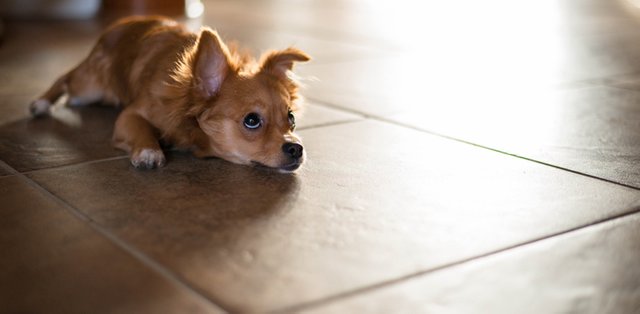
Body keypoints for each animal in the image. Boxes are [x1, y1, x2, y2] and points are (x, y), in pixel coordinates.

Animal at [30, 15, 310, 172]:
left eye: (291, 118)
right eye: (251, 121)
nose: (296, 148)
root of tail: (119, 25)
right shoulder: (130, 116)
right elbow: (141, 129)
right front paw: (149, 151)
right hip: (89, 86)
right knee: (65, 78)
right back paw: (40, 103)